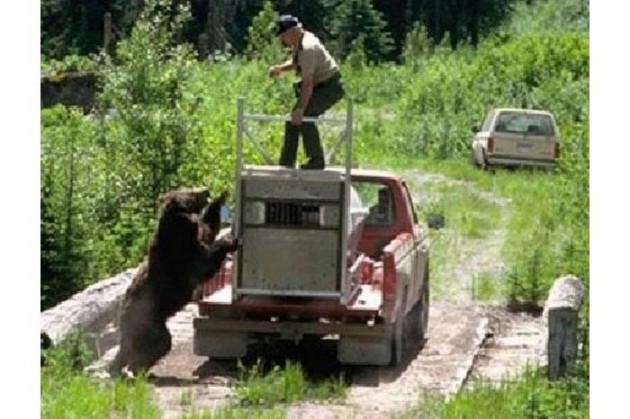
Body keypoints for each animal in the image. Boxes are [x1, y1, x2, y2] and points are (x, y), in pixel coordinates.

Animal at [108, 187, 237, 378]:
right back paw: (138, 369)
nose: (205, 190)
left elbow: (208, 228)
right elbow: (206, 261)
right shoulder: (182, 255)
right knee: (159, 344)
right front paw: (228, 241)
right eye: (190, 193)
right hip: (149, 321)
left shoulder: (194, 236)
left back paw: (120, 369)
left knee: (128, 349)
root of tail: (121, 317)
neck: (177, 227)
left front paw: (221, 197)